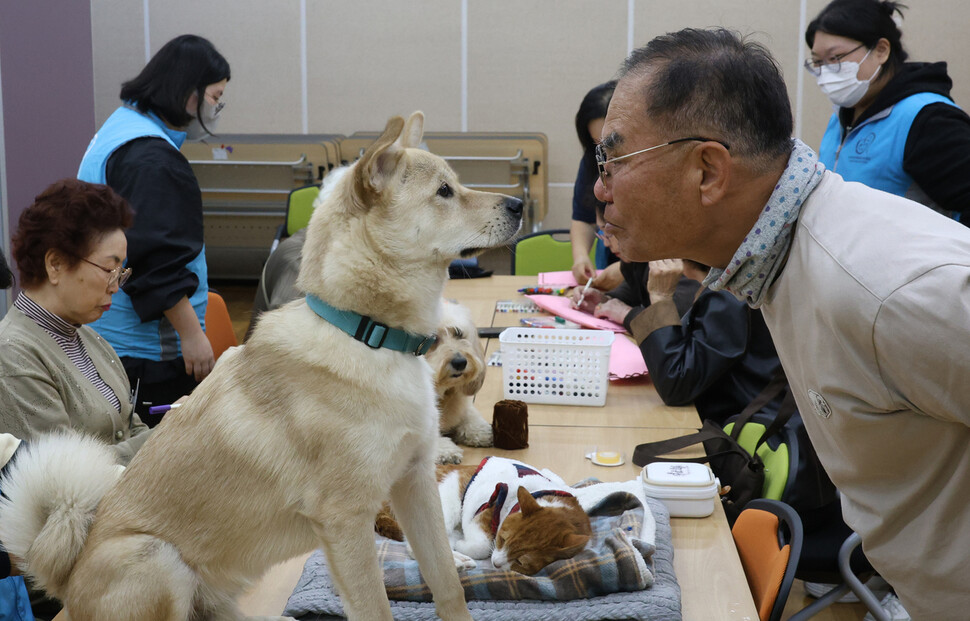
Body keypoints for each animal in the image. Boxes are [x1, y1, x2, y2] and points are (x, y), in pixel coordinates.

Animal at [376, 456, 588, 572]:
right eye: (502, 539)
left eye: (521, 562)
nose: (495, 564)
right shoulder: (484, 508)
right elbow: (482, 545)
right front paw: (463, 545)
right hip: (441, 504)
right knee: (420, 546)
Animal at [432, 298, 492, 462]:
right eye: (432, 339)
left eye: (458, 333)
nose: (460, 362)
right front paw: (445, 450)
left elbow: (468, 414)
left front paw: (479, 430)